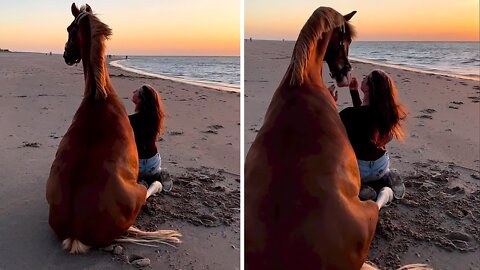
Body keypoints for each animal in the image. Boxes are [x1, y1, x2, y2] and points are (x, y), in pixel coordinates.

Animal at [46, 3, 181, 254]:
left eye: (69, 29)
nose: (66, 55)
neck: (99, 99)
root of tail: (75, 232)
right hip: (137, 194)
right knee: (149, 189)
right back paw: (157, 184)